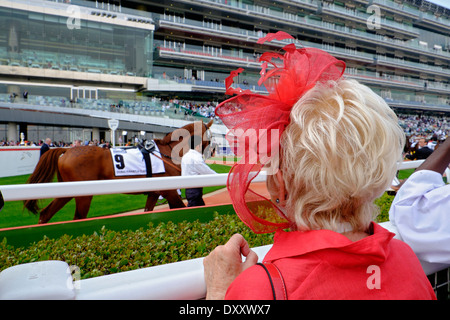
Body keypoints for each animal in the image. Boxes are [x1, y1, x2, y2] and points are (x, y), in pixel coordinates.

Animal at [23, 119, 214, 222]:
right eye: (210, 137)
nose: (210, 152)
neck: (167, 151)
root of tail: (66, 151)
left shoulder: (154, 192)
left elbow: (148, 211)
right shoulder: (170, 191)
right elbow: (181, 207)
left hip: (67, 191)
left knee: (45, 213)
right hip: (84, 196)